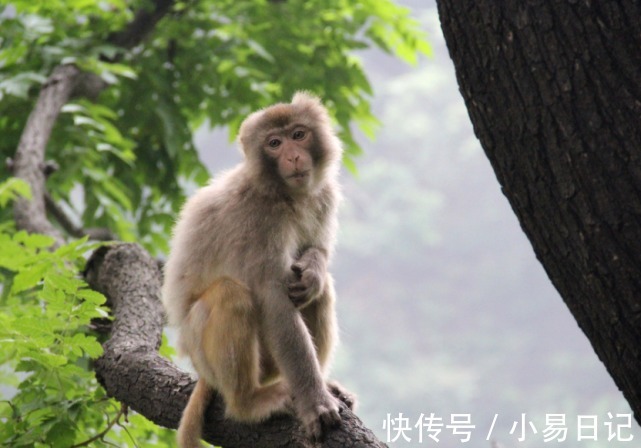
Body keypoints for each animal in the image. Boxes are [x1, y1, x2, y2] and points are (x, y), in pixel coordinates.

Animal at [161, 92, 356, 448]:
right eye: (274, 143)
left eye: (298, 135)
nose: (293, 156)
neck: (285, 193)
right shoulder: (259, 220)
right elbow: (273, 299)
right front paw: (315, 404)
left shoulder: (323, 194)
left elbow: (316, 253)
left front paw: (313, 267)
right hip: (211, 355)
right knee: (231, 294)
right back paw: (248, 401)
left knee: (318, 294)